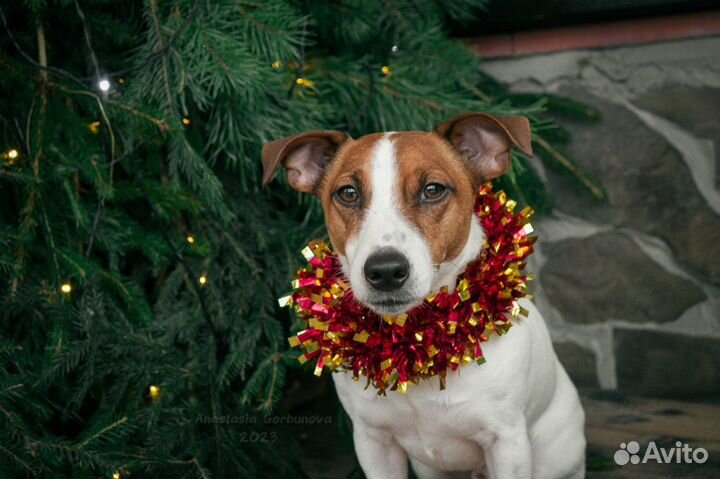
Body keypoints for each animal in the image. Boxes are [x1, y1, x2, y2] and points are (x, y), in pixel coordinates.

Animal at [262, 112, 584, 479]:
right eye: (348, 193)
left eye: (432, 190)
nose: (385, 271)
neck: (417, 339)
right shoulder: (374, 443)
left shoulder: (506, 444)